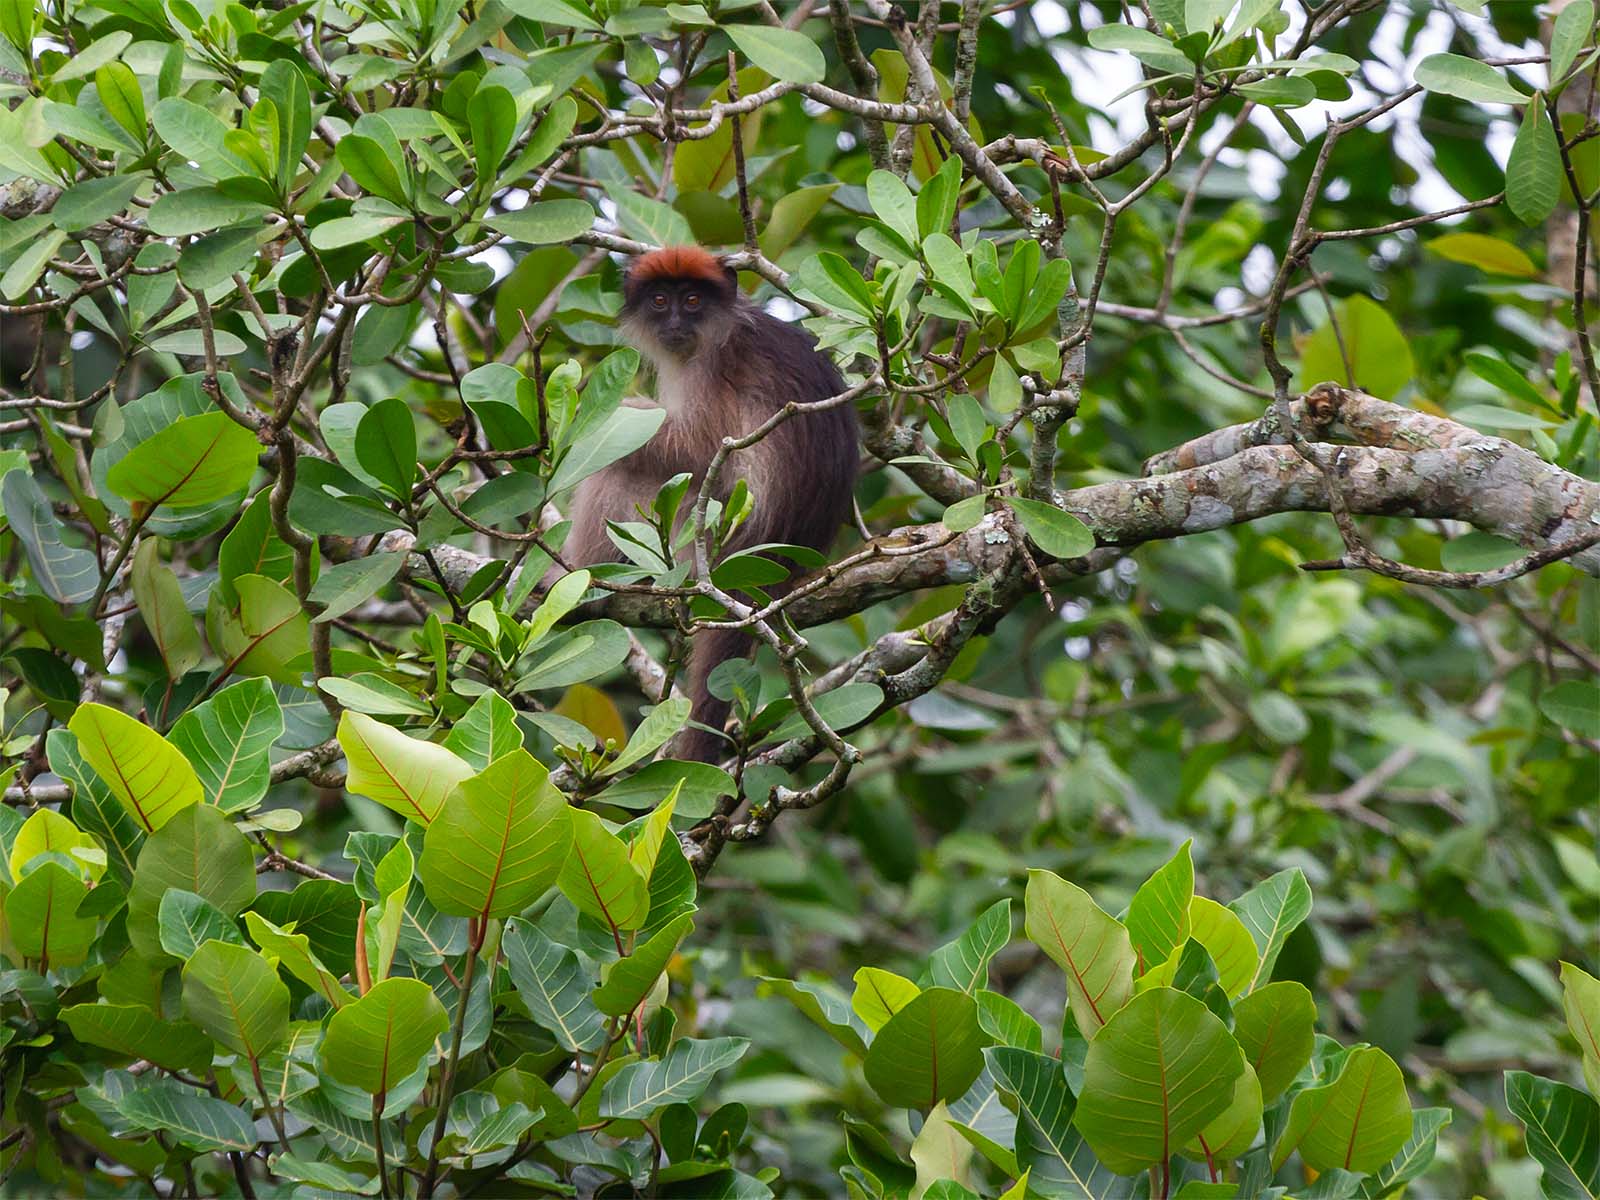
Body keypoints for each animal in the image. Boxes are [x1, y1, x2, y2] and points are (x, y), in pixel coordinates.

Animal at [562, 246, 858, 763]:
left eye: (694, 300)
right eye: (660, 300)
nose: (676, 321)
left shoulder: (713, 365)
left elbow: (700, 448)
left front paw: (599, 411)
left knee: (621, 467)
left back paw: (577, 576)